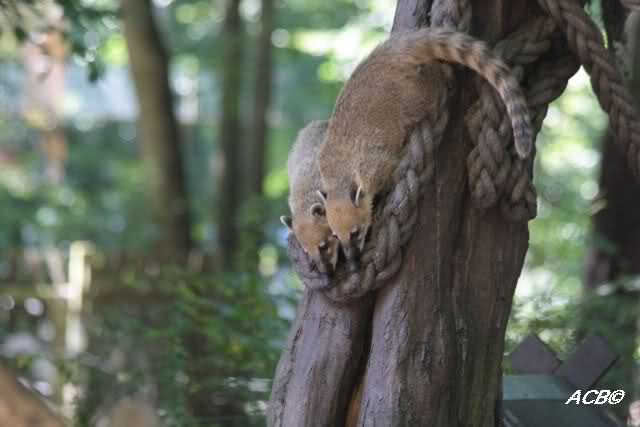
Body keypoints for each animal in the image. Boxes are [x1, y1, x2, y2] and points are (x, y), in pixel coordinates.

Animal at [318, 28, 532, 267]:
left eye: (355, 233)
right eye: (335, 235)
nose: (353, 264)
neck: (340, 176)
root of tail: (390, 55)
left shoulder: (375, 165)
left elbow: (389, 172)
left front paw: (377, 209)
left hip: (408, 96)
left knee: (428, 92)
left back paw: (443, 74)